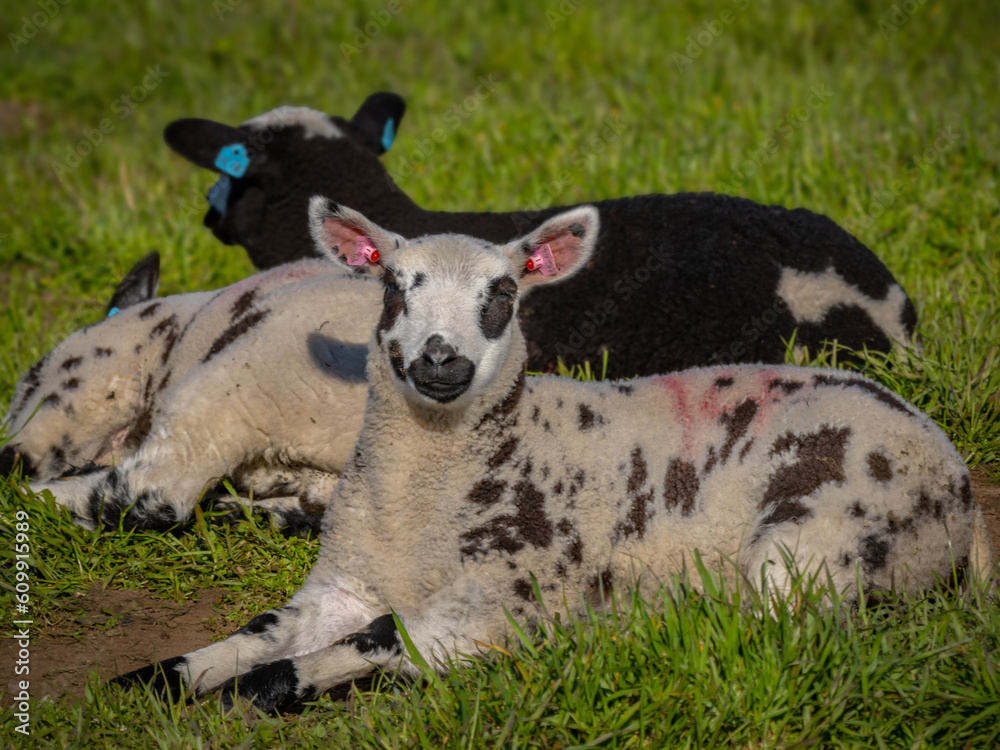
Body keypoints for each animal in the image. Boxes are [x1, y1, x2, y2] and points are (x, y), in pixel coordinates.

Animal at [115, 200, 990, 714]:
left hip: (818, 540)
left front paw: (254, 694)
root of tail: (956, 477)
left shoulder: (500, 596)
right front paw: (152, 682)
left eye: (501, 295)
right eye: (395, 287)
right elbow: (266, 628)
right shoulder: (342, 582)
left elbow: (375, 642)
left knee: (781, 630)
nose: (440, 361)